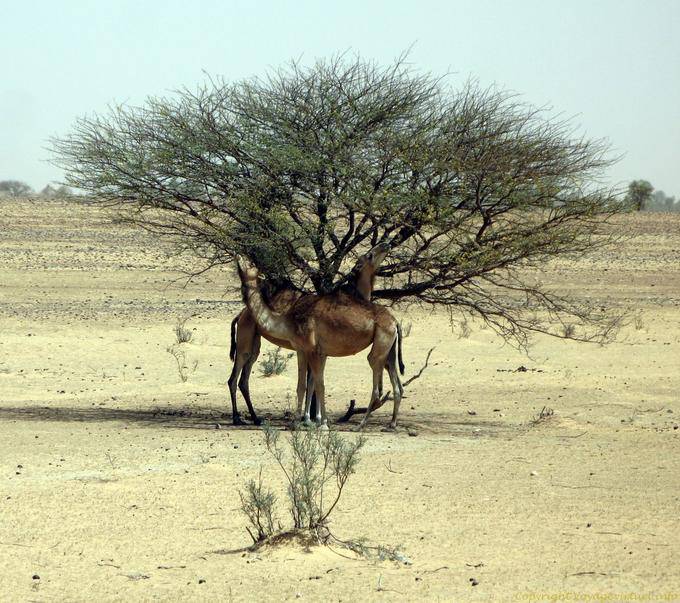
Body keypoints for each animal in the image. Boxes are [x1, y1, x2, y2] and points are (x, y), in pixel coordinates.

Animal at [227, 243, 394, 425]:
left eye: (250, 264)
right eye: (369, 255)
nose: (385, 245)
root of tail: (240, 314)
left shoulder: (313, 350)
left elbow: (312, 384)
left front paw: (313, 420)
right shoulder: (310, 350)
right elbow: (310, 384)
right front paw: (310, 420)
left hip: (253, 344)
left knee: (241, 379)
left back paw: (251, 418)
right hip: (246, 341)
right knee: (236, 378)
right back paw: (241, 418)